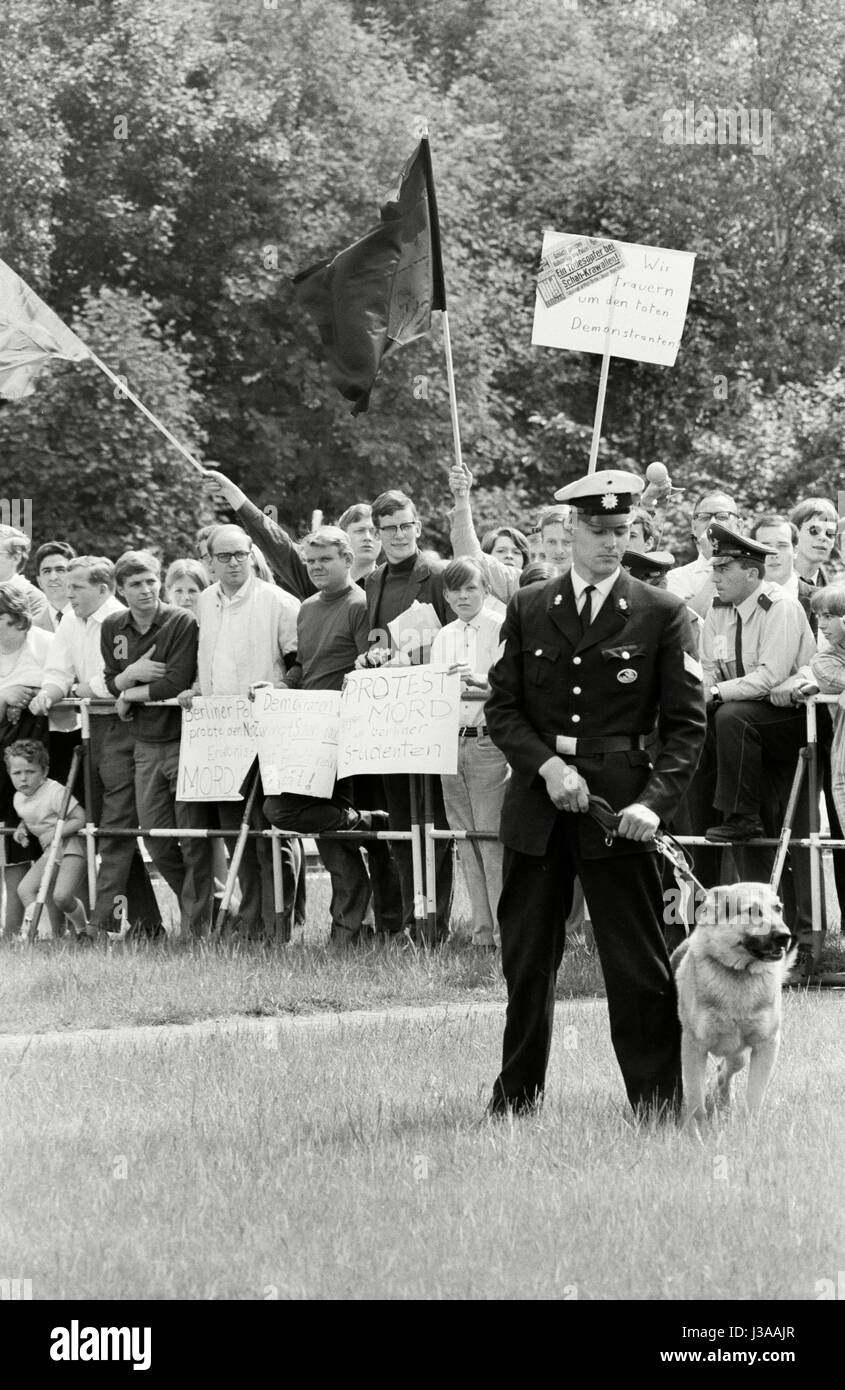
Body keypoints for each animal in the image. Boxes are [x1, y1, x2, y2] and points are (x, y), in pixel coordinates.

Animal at [669, 884, 794, 1123]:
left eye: (778, 908)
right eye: (752, 911)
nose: (785, 936)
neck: (738, 973)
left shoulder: (766, 1044)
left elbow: (754, 1095)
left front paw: (750, 1126)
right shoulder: (693, 1045)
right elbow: (695, 1098)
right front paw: (697, 1128)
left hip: (739, 1053)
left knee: (726, 1070)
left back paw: (726, 1103)